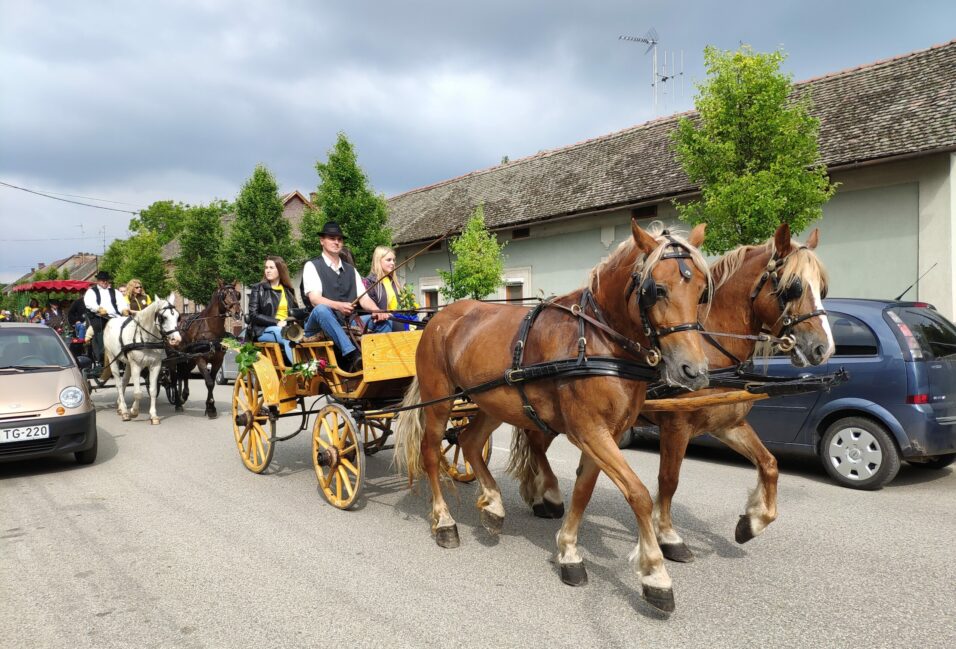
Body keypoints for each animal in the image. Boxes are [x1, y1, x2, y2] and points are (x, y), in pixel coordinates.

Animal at [103, 298, 182, 426]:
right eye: (163, 317)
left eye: (178, 317)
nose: (177, 339)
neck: (146, 339)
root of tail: (110, 321)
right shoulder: (136, 365)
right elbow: (138, 392)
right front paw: (134, 411)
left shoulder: (155, 365)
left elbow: (153, 390)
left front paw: (153, 416)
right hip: (113, 359)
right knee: (119, 384)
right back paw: (124, 411)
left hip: (128, 364)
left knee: (124, 381)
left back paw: (120, 406)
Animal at [174, 280, 245, 418]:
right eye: (224, 295)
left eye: (238, 294)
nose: (238, 312)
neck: (210, 328)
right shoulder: (201, 359)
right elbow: (209, 382)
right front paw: (211, 407)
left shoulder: (217, 361)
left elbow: (211, 382)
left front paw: (210, 406)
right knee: (175, 375)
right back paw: (178, 402)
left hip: (189, 359)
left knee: (184, 373)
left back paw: (183, 396)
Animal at [392, 220, 712, 612]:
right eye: (658, 290)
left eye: (702, 291)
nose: (694, 371)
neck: (597, 341)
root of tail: (441, 317)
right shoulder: (590, 430)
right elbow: (638, 493)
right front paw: (655, 573)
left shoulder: (604, 433)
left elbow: (584, 491)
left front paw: (569, 551)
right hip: (439, 401)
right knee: (431, 453)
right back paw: (444, 522)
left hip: (492, 403)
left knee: (469, 442)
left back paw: (494, 504)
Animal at [512, 223, 832, 560]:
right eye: (793, 287)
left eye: (822, 288)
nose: (823, 348)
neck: (711, 345)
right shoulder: (676, 426)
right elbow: (669, 480)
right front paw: (667, 536)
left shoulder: (727, 424)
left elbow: (769, 464)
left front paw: (753, 522)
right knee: (536, 444)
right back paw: (548, 495)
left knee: (534, 443)